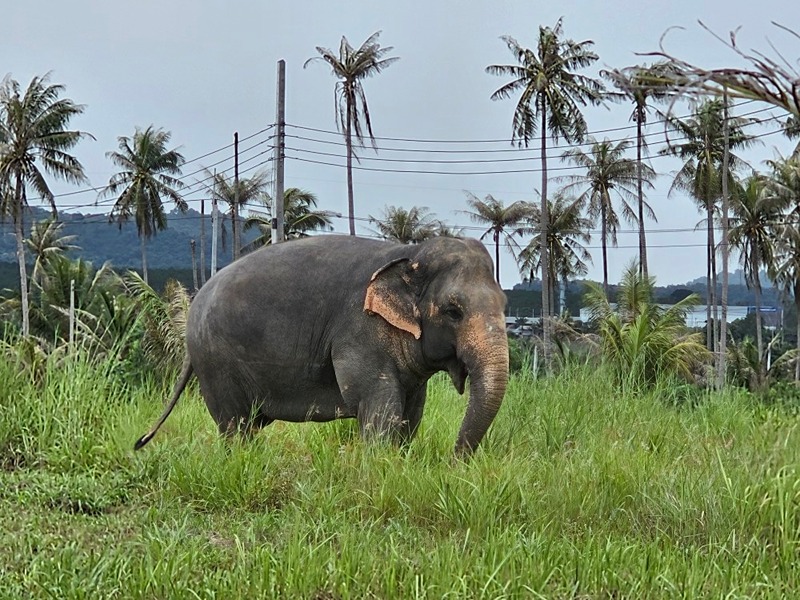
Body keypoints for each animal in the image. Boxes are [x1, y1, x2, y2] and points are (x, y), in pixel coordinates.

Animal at [131, 233, 506, 454]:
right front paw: (381, 465)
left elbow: (411, 414)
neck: (410, 252)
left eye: (505, 304)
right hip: (216, 362)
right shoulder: (359, 331)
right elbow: (378, 408)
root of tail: (193, 306)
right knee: (235, 426)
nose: (455, 460)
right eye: (453, 311)